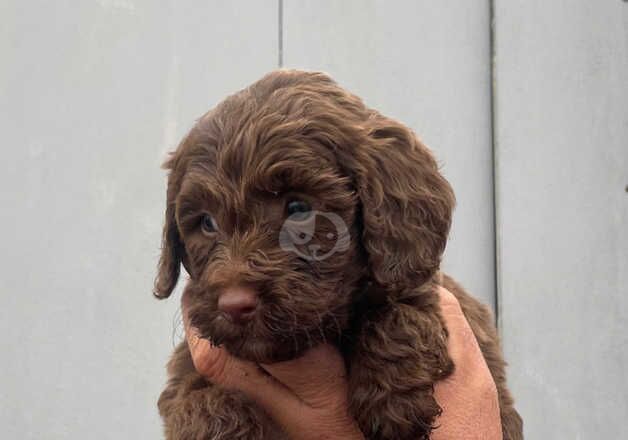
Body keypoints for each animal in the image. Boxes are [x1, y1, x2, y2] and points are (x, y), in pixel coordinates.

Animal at [155, 69, 524, 440]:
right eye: (207, 222)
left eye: (299, 208)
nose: (235, 304)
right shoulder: (188, 366)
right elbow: (192, 397)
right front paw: (221, 422)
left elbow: (400, 308)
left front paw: (393, 396)